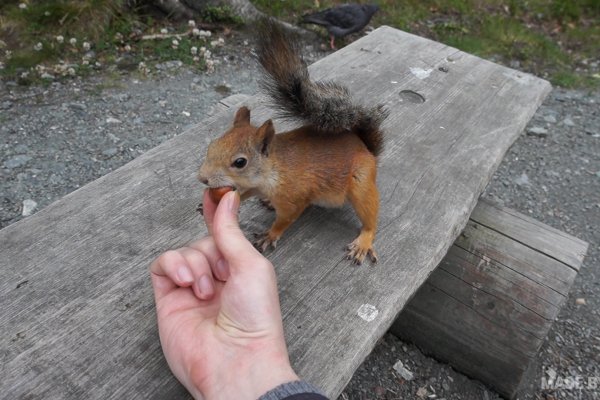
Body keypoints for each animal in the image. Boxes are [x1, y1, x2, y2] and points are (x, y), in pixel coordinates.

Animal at [197, 18, 386, 264]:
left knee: (370, 217)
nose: (202, 178)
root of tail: (364, 147)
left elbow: (285, 219)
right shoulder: (255, 186)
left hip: (361, 184)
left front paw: (270, 234)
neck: (272, 170)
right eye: (212, 145)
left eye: (240, 162)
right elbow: (243, 193)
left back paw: (364, 241)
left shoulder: (293, 199)